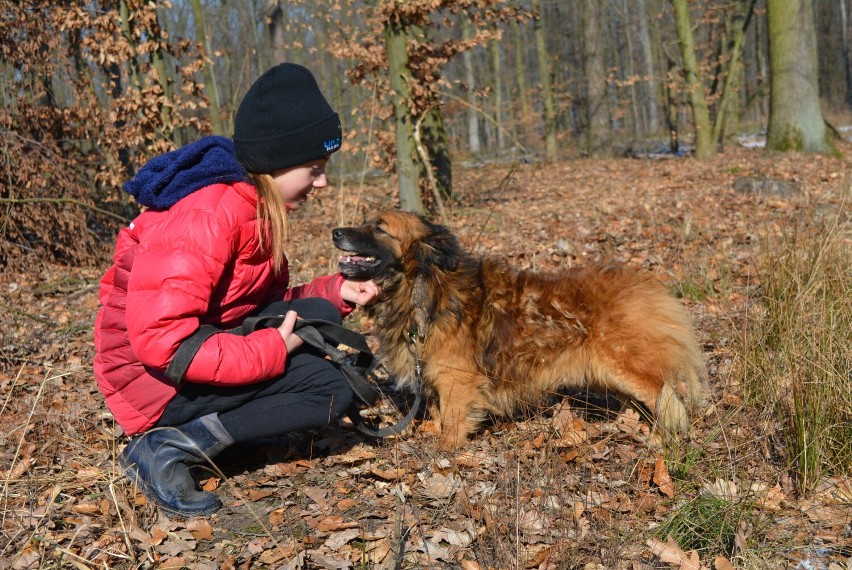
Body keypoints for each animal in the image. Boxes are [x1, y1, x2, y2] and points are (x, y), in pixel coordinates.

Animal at [332, 210, 704, 448]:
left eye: (379, 228)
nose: (335, 232)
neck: (423, 285)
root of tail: (642, 284)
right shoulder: (434, 373)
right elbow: (437, 410)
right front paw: (431, 432)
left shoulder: (456, 378)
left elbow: (452, 418)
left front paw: (446, 450)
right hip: (607, 373)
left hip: (623, 366)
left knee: (665, 397)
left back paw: (662, 436)